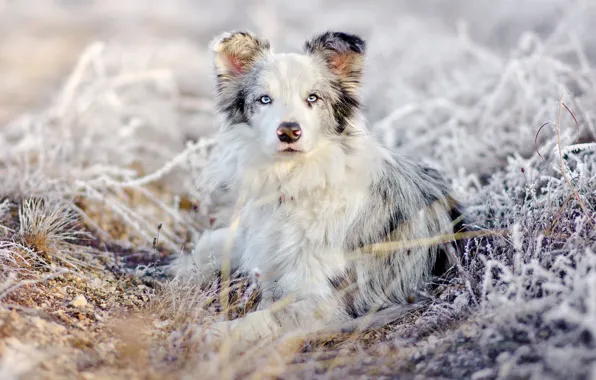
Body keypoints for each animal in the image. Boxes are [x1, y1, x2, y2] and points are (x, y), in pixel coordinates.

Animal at [170, 31, 468, 342]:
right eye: (264, 99)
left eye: (313, 97)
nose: (289, 131)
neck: (295, 180)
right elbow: (210, 244)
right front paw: (185, 273)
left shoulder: (326, 303)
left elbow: (265, 318)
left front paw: (210, 332)